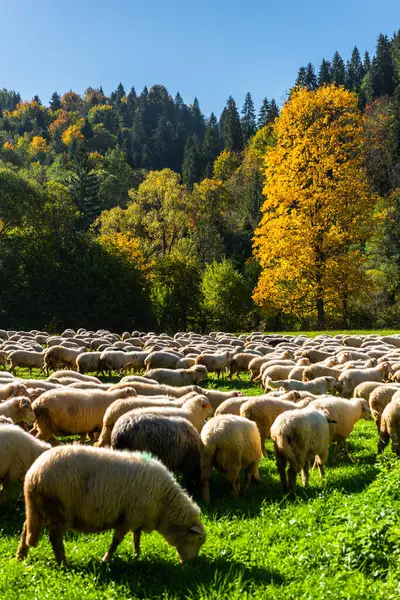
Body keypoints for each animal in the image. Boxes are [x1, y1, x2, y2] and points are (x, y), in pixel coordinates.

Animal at [16, 446, 205, 568]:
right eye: (198, 540)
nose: (190, 564)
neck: (164, 504)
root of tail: (33, 475)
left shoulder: (138, 516)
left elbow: (137, 536)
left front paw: (137, 554)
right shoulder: (129, 517)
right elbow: (116, 541)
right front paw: (106, 560)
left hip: (37, 509)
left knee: (26, 528)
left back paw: (20, 556)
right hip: (58, 511)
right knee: (54, 538)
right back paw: (63, 563)